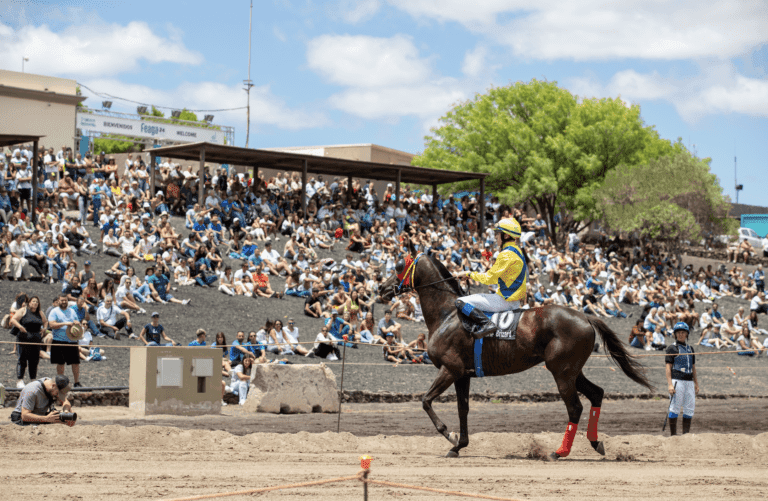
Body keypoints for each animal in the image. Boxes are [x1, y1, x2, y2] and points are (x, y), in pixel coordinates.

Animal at [378, 240, 654, 459]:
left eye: (398, 265)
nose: (380, 289)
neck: (447, 314)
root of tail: (585, 317)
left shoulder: (450, 368)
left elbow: (426, 401)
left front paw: (449, 434)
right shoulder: (463, 374)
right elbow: (462, 409)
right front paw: (459, 445)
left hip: (562, 372)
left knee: (575, 407)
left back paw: (559, 451)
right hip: (573, 371)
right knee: (596, 394)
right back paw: (595, 442)